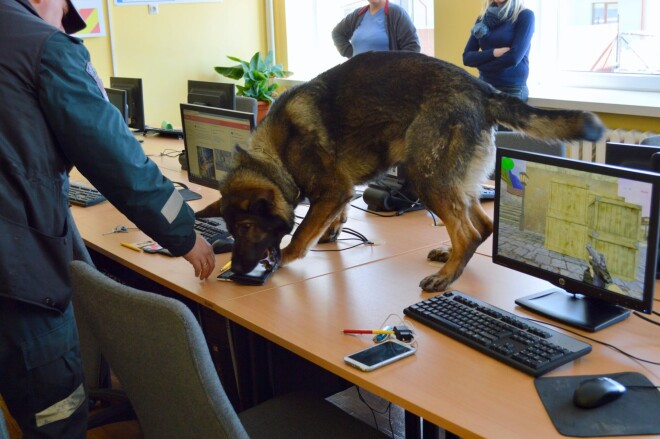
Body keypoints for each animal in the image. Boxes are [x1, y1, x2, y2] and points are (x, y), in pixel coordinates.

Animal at [196, 50, 604, 292]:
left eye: (246, 227)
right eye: (231, 228)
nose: (237, 268)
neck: (275, 154)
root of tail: (482, 89)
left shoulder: (330, 190)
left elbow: (299, 235)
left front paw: (284, 258)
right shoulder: (339, 193)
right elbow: (333, 216)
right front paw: (332, 232)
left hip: (425, 175)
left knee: (470, 231)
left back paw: (447, 275)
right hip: (454, 181)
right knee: (482, 225)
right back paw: (451, 256)